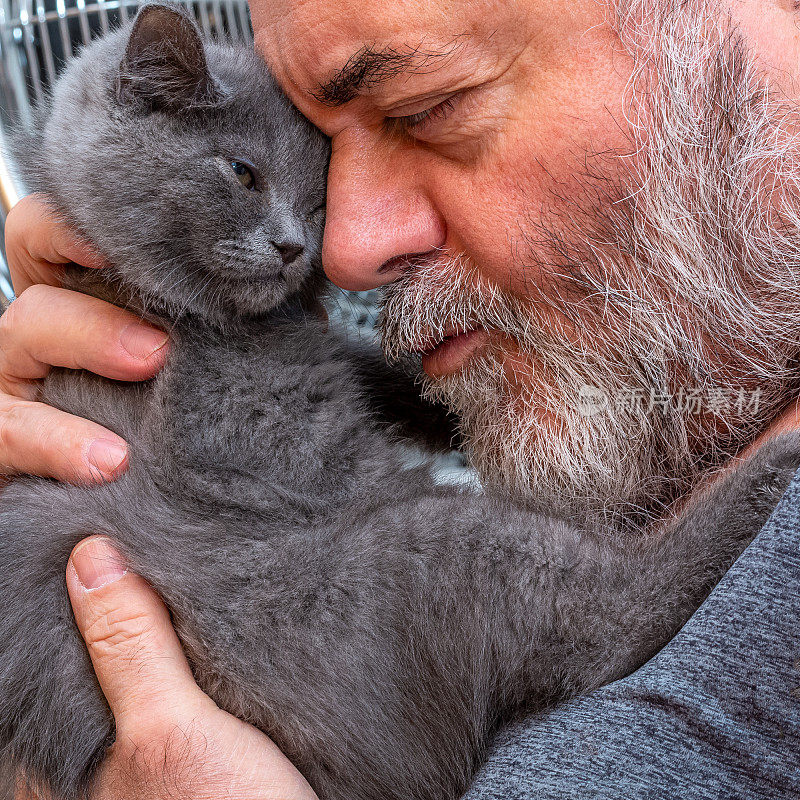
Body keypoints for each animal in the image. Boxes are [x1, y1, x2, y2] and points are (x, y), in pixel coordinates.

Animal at [1, 6, 800, 800]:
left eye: (320, 198)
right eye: (241, 172)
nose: (294, 246)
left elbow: (371, 367)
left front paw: (441, 406)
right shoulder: (240, 423)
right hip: (413, 555)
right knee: (614, 614)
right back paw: (772, 464)